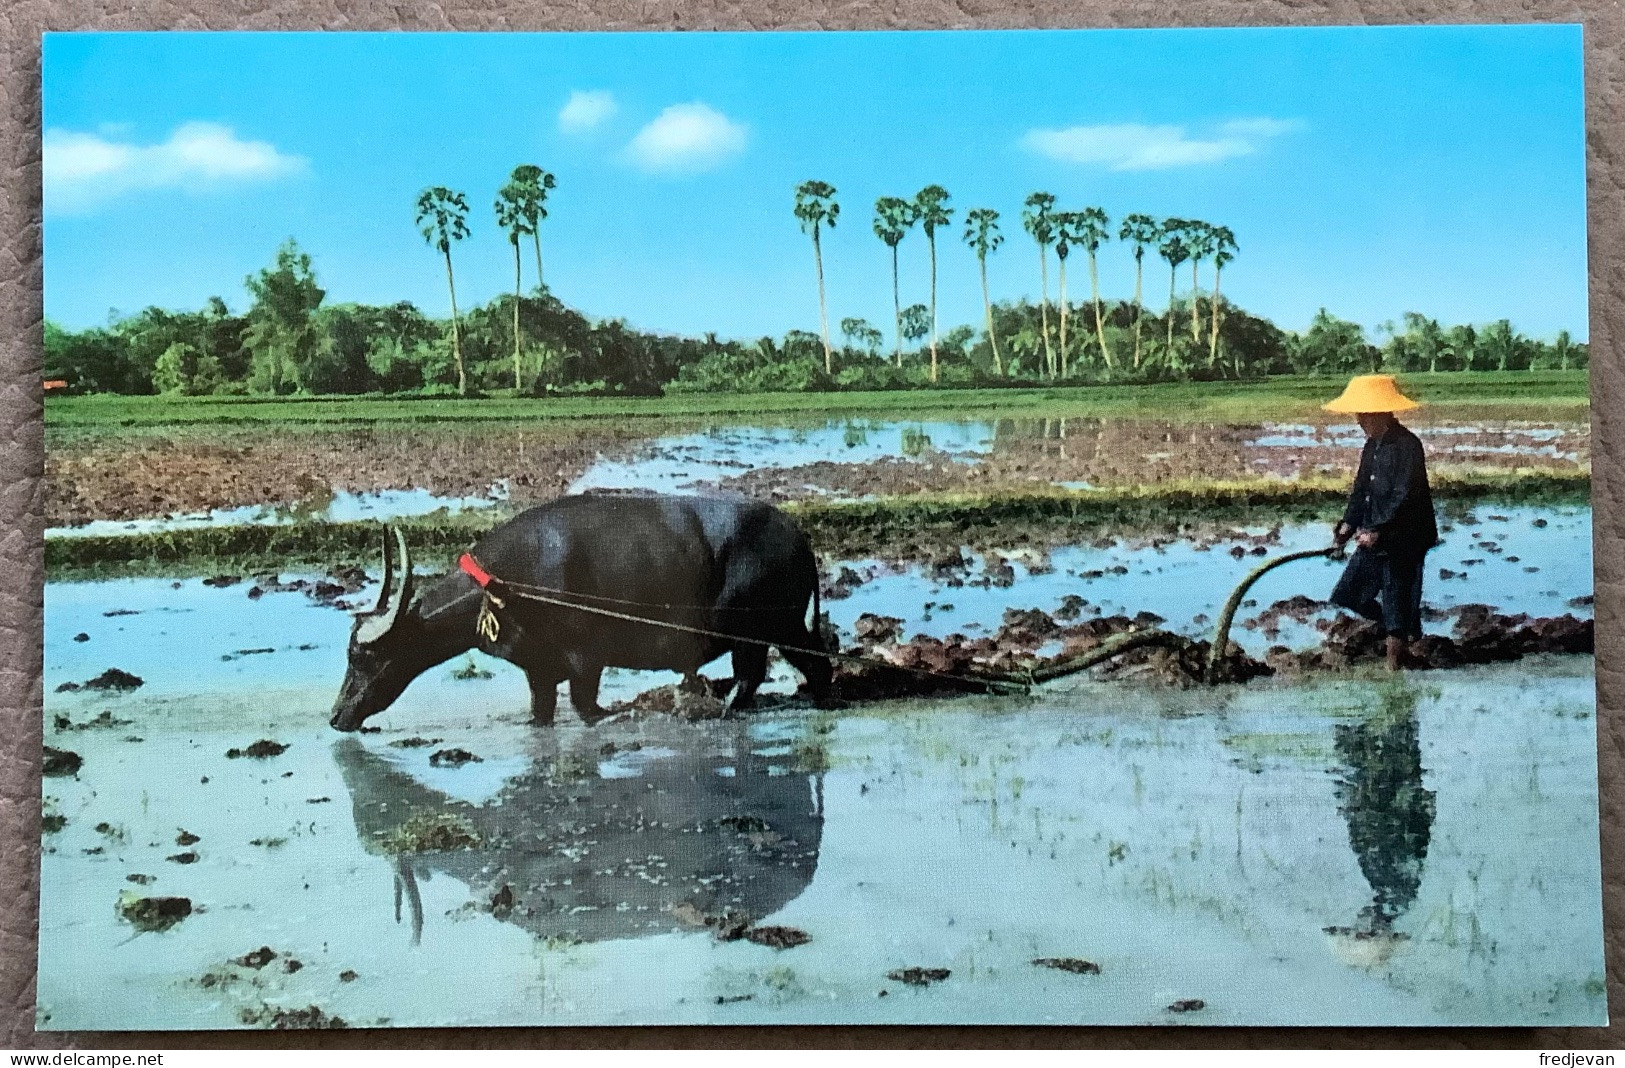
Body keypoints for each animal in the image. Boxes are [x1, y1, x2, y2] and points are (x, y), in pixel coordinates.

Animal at [331, 490, 838, 734]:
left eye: (362, 657)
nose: (337, 716)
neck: (511, 584)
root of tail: (797, 536)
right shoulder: (539, 670)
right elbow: (542, 712)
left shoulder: (585, 662)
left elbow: (588, 707)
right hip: (774, 631)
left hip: (769, 629)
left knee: (787, 670)